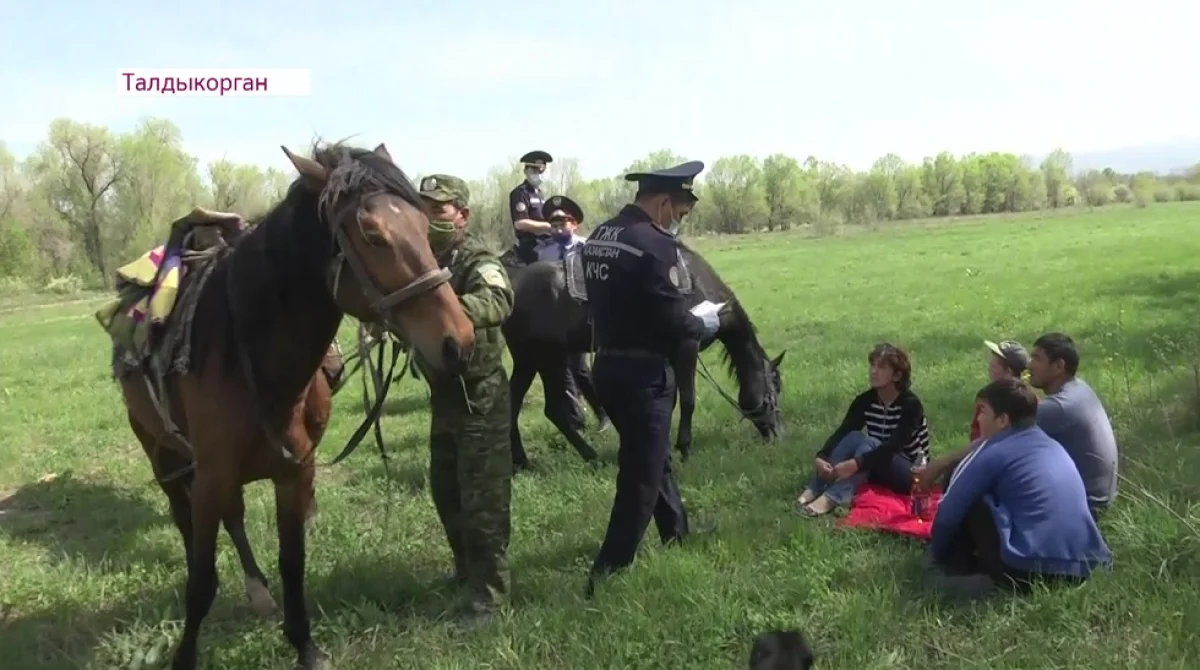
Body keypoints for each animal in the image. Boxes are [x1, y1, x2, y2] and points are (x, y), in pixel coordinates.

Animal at [112, 142, 475, 670]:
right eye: (373, 235)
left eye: (425, 226)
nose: (458, 342)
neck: (254, 362)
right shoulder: (212, 475)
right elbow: (200, 580)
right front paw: (185, 656)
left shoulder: (295, 474)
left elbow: (293, 562)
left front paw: (304, 644)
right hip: (160, 452)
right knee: (187, 519)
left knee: (235, 518)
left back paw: (259, 593)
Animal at [499, 240, 787, 468]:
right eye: (774, 389)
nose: (778, 433)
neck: (698, 288)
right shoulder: (686, 346)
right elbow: (688, 400)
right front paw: (685, 449)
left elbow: (669, 401)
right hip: (549, 358)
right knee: (554, 410)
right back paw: (590, 456)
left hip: (530, 360)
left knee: (519, 405)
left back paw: (523, 461)